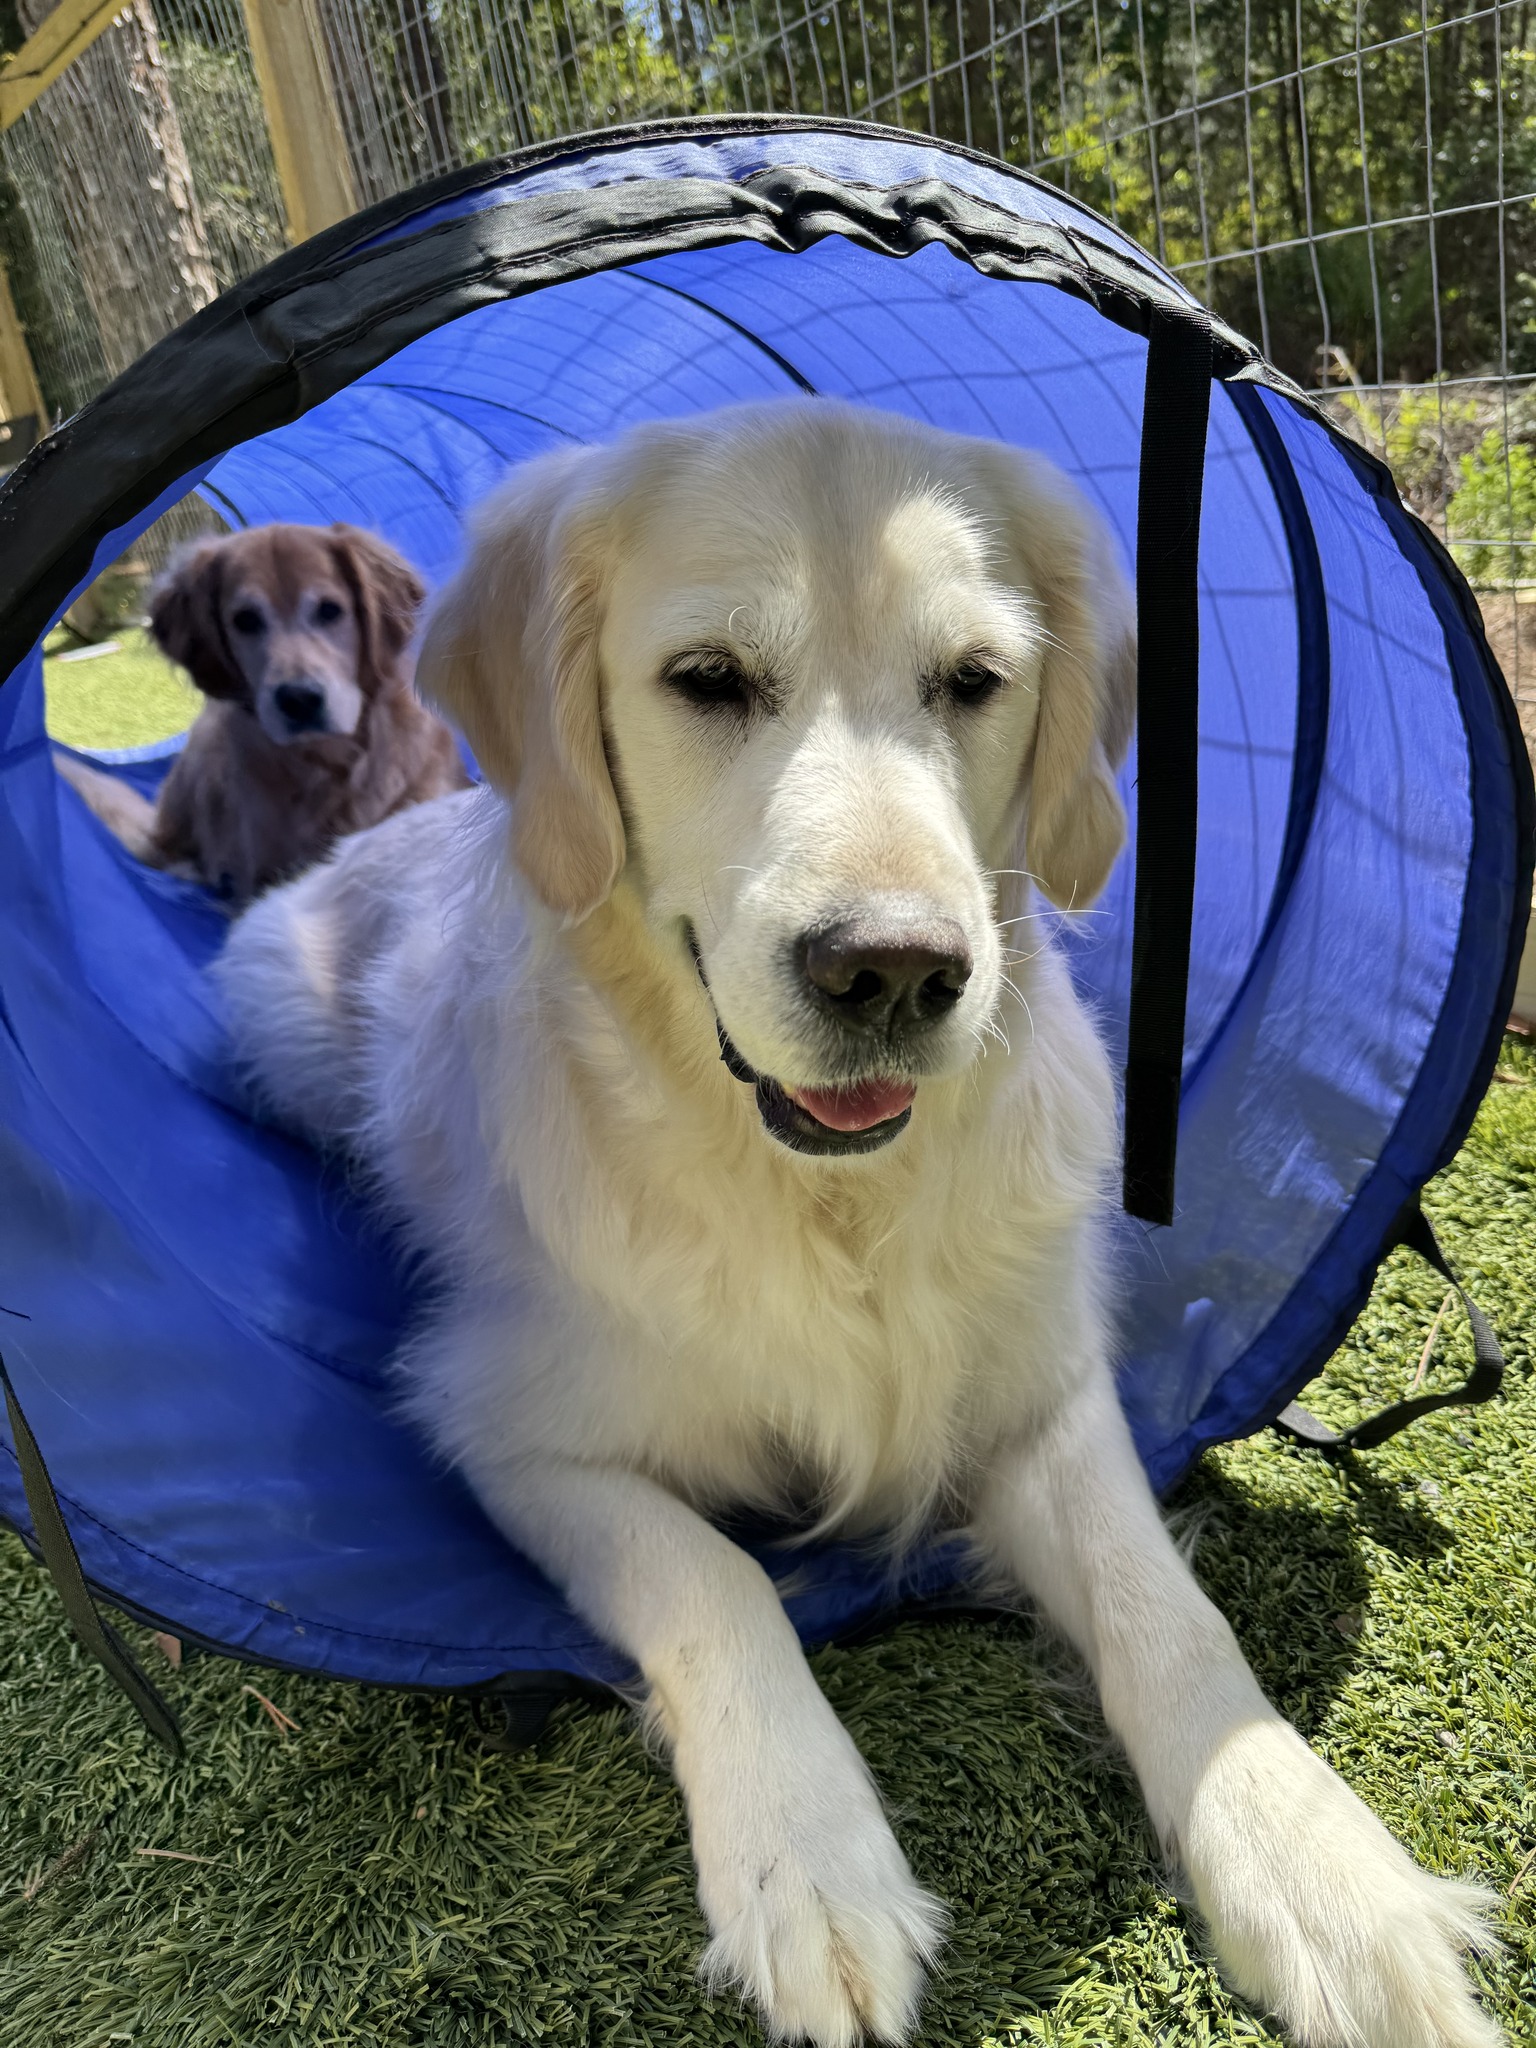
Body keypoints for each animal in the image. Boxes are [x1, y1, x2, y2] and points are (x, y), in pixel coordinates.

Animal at [214, 403, 1499, 2048]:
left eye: (974, 681)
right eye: (707, 679)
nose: (890, 971)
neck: (832, 1200)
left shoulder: (1041, 1393)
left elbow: (1166, 1613)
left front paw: (1325, 1873)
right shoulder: (510, 1431)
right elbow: (719, 1580)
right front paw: (809, 1863)